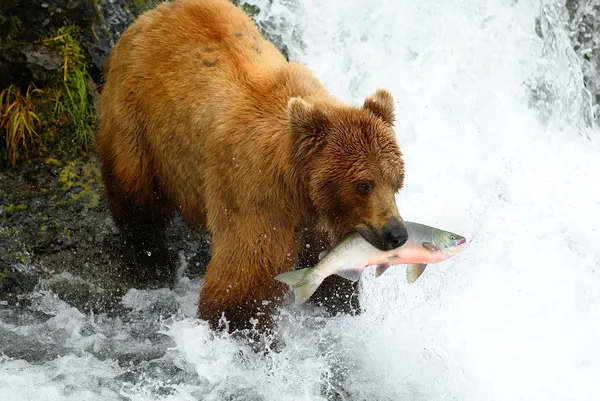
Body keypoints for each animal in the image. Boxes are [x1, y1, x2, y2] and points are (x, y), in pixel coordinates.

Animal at [96, 0, 410, 332]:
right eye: (363, 184)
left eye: (397, 182)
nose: (396, 233)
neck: (300, 184)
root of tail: (152, 13)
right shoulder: (256, 194)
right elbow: (244, 280)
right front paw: (240, 325)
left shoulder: (318, 218)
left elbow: (328, 271)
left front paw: (341, 302)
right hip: (137, 121)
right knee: (135, 194)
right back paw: (153, 260)